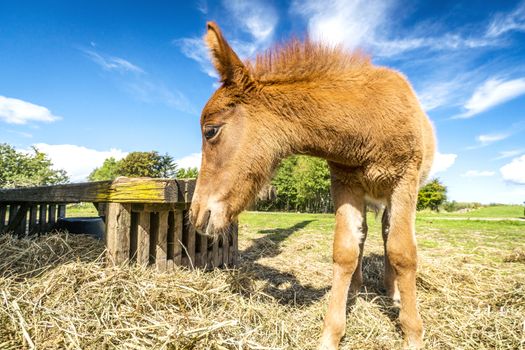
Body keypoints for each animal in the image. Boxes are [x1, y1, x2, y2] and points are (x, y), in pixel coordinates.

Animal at [188, 22, 434, 350]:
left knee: (386, 234)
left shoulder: (405, 181)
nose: (196, 215)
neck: (369, 122)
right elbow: (345, 251)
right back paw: (357, 288)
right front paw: (331, 333)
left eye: (210, 131)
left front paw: (412, 333)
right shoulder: (345, 183)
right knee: (364, 236)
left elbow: (403, 252)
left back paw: (392, 291)